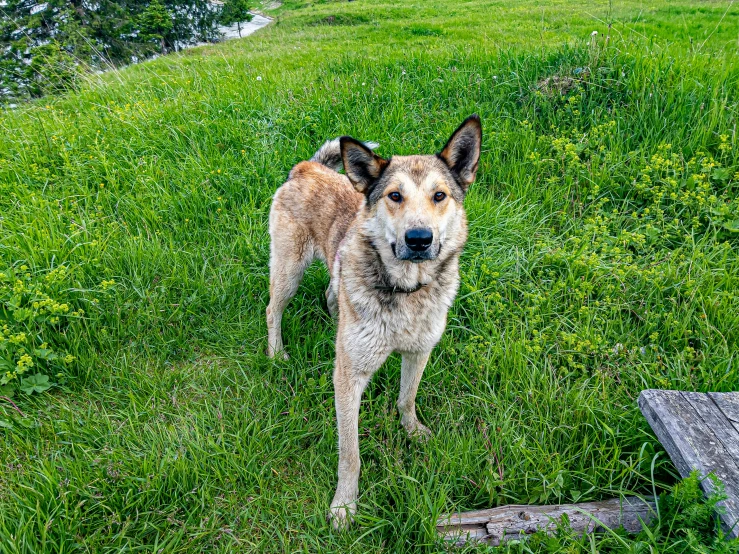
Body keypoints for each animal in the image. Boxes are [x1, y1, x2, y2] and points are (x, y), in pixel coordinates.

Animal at [268, 115, 482, 528]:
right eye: (394, 196)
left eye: (440, 196)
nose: (419, 239)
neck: (407, 290)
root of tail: (307, 168)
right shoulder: (348, 378)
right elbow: (350, 454)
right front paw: (344, 506)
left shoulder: (419, 351)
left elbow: (407, 398)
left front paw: (413, 433)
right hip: (289, 270)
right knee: (273, 309)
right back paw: (276, 354)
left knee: (332, 292)